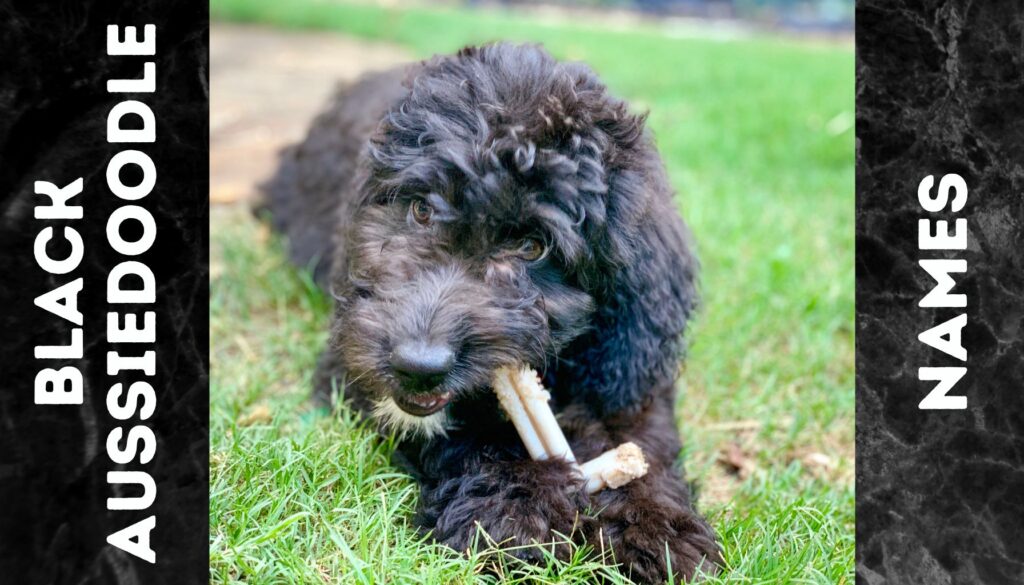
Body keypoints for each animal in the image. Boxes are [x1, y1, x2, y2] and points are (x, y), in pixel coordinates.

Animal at [262, 43, 720, 581]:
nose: (418, 367)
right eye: (421, 210)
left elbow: (640, 437)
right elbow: (466, 436)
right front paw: (515, 508)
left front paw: (658, 528)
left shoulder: (629, 364)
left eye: (532, 247)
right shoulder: (351, 358)